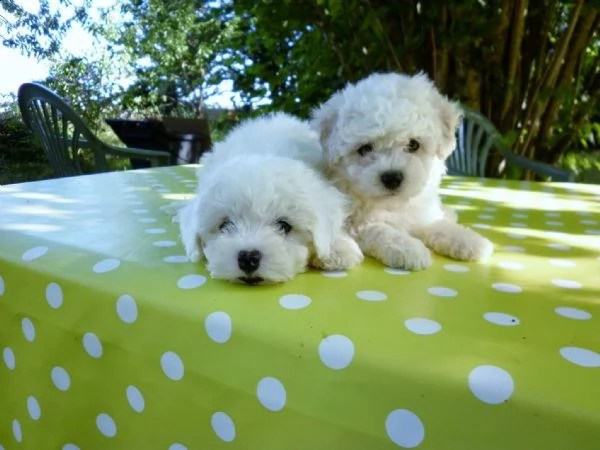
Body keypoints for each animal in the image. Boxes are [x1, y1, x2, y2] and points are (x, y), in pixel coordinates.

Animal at [310, 72, 492, 272]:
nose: (392, 178)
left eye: (413, 145)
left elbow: (434, 224)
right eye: (364, 149)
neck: (392, 204)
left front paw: (469, 241)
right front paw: (410, 249)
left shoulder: (420, 212)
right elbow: (380, 230)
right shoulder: (356, 223)